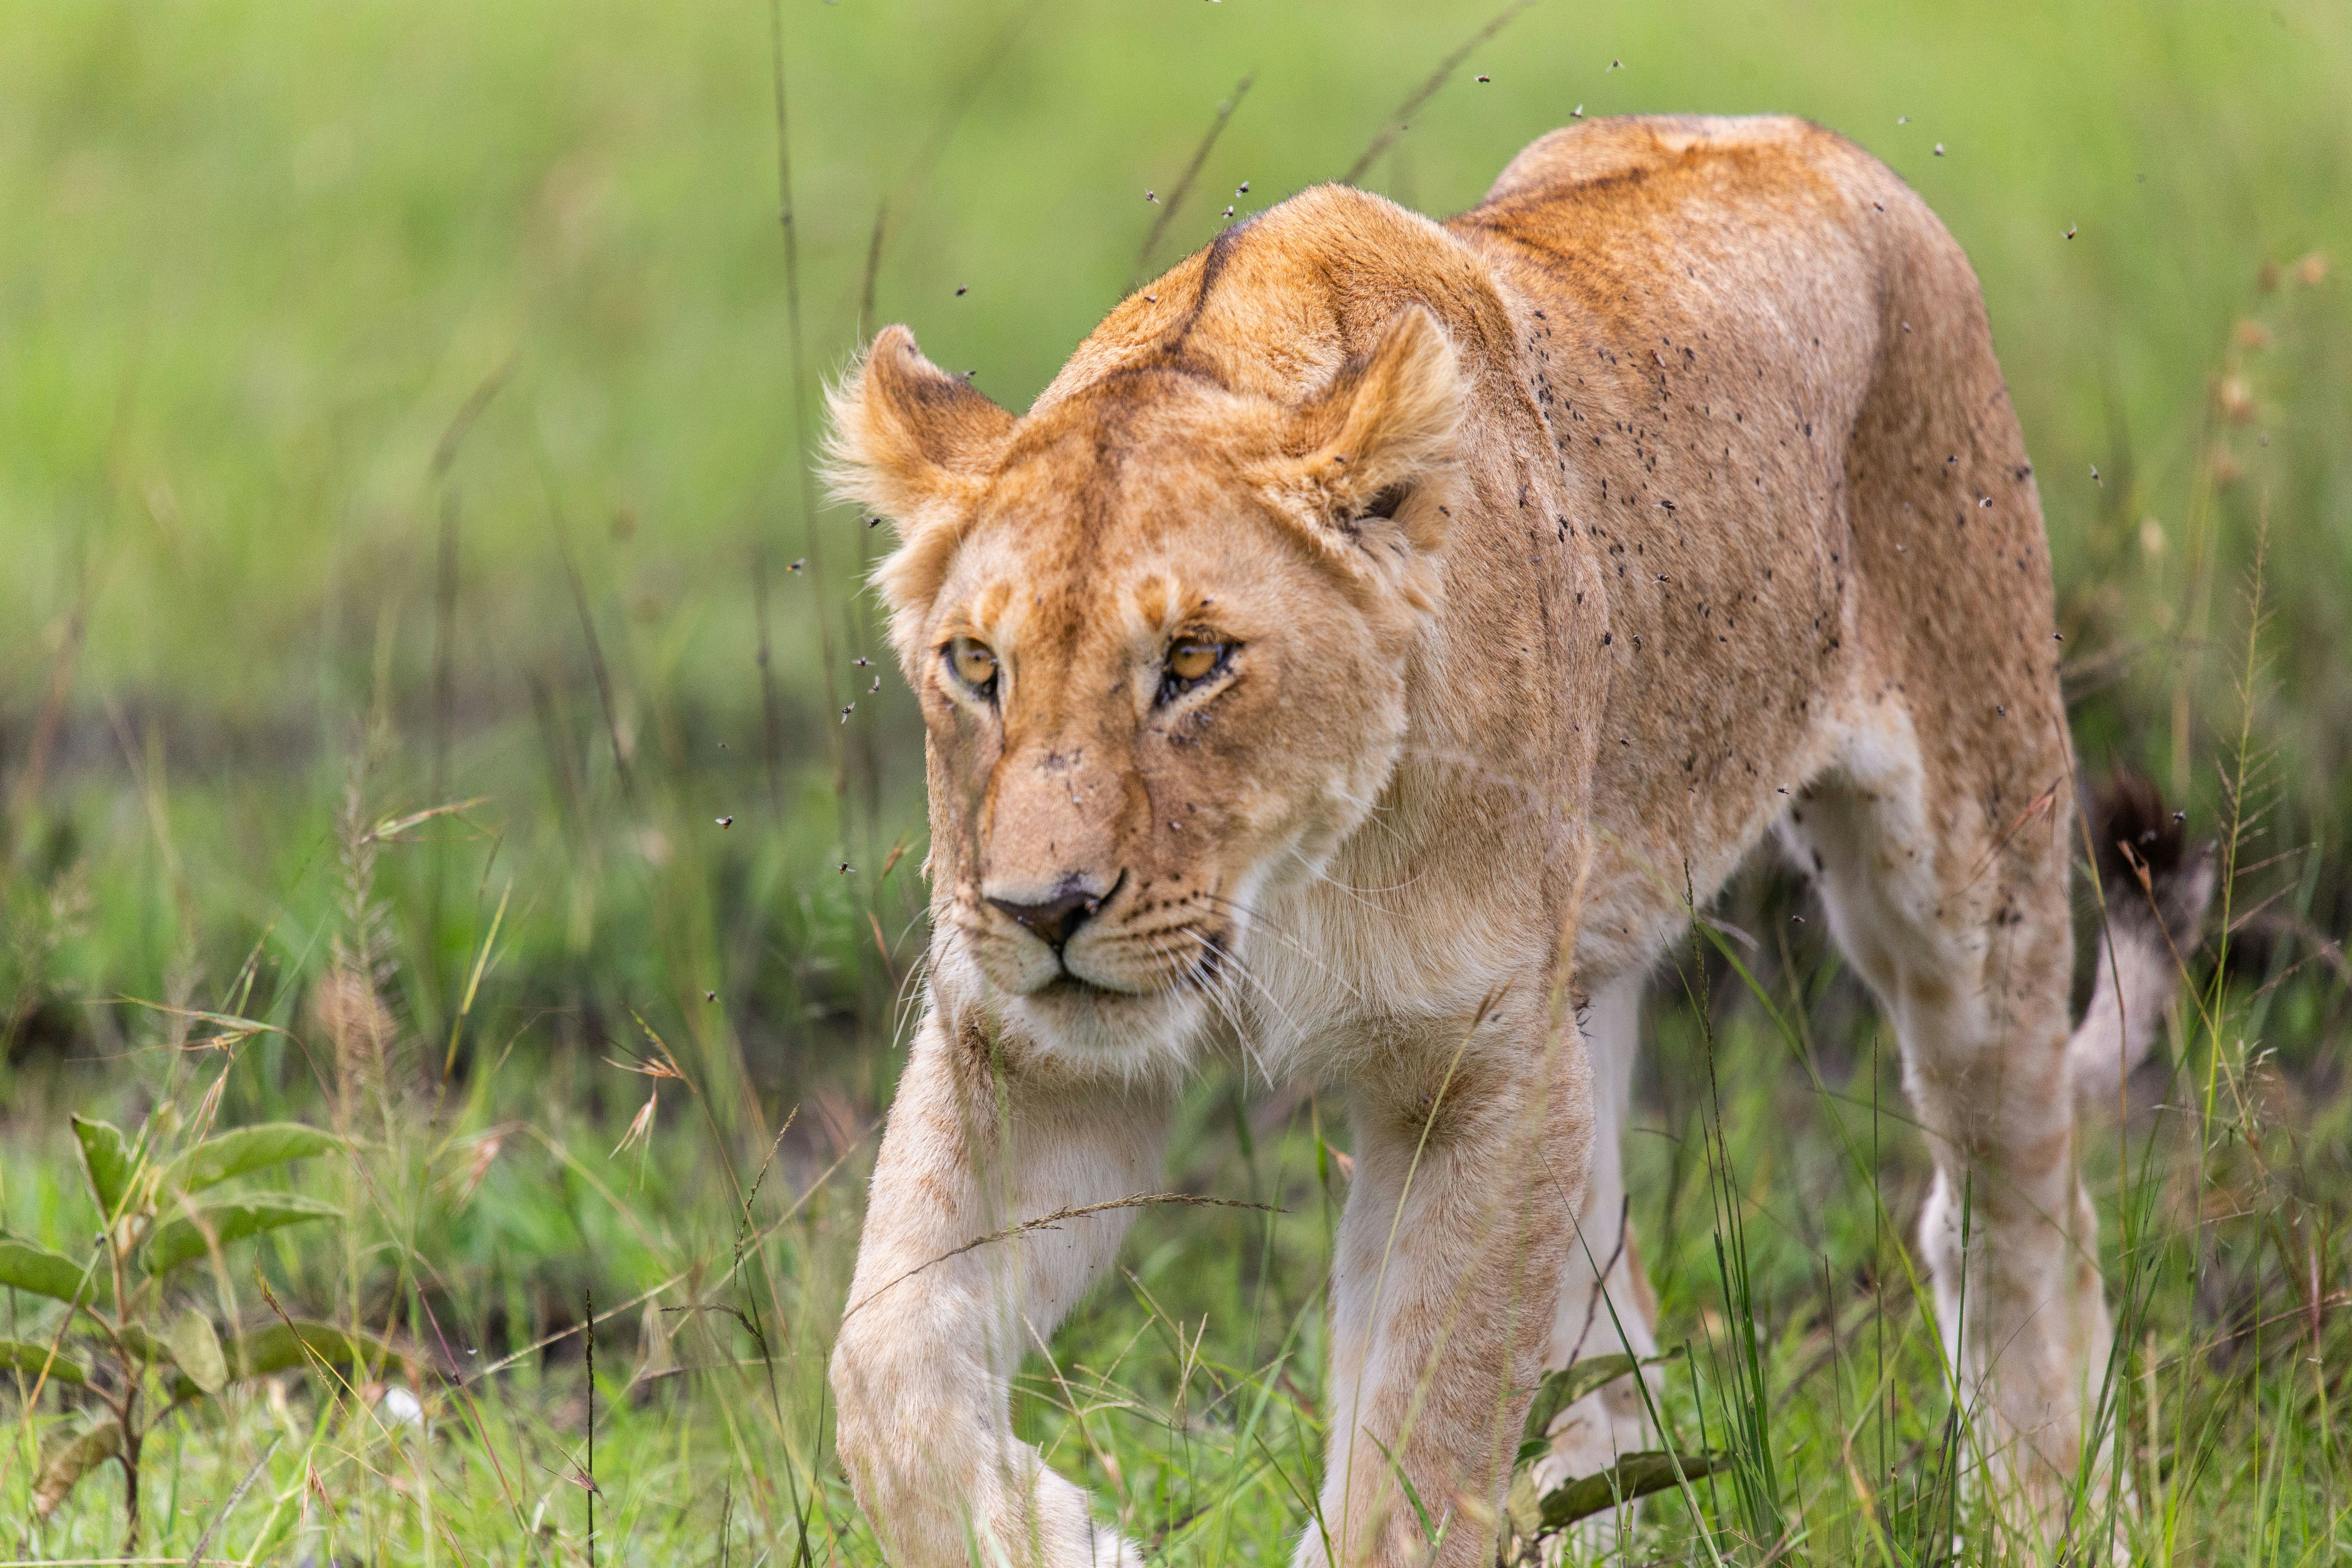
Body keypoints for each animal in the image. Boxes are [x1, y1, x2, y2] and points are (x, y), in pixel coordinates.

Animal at [822, 114, 2210, 1567]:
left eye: (1195, 661)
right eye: (977, 665)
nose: (1043, 911)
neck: (1280, 885)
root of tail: (1814, 137)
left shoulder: (1481, 1066)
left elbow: (1420, 1461)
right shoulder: (1033, 1054)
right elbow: (882, 1360)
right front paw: (1062, 1538)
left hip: (1970, 848)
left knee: (2010, 1207)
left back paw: (2055, 1518)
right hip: (1587, 978)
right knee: (1614, 1315)